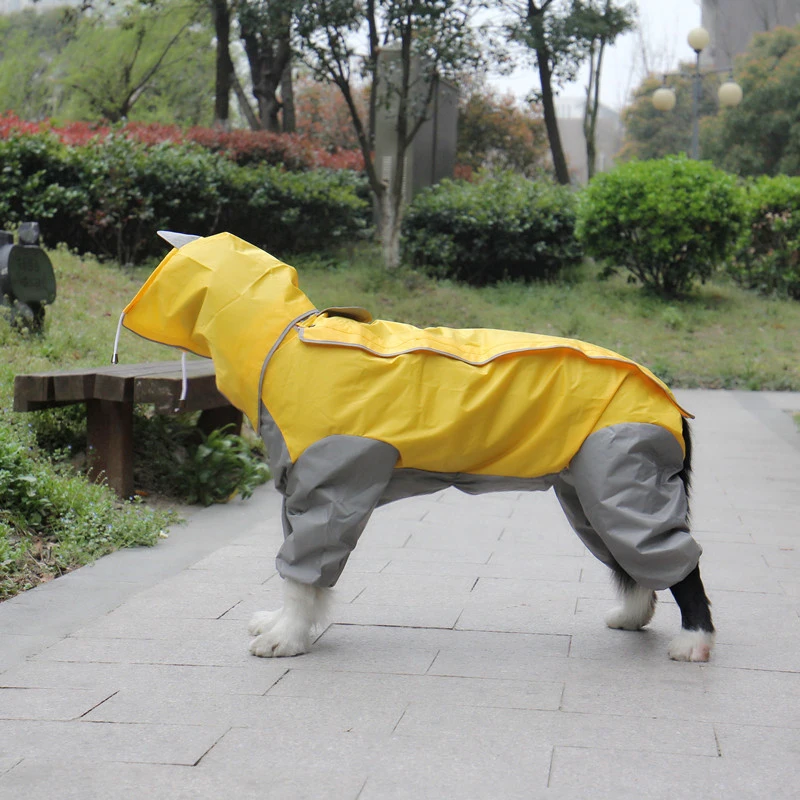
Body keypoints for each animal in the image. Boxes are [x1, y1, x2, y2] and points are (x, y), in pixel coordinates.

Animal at [120, 231, 720, 664]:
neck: (283, 341)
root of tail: (667, 397)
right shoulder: (300, 487)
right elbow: (305, 576)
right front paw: (291, 625)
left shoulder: (328, 485)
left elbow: (302, 569)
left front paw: (284, 638)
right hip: (591, 490)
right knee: (635, 561)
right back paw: (633, 615)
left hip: (624, 478)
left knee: (679, 562)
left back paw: (694, 641)